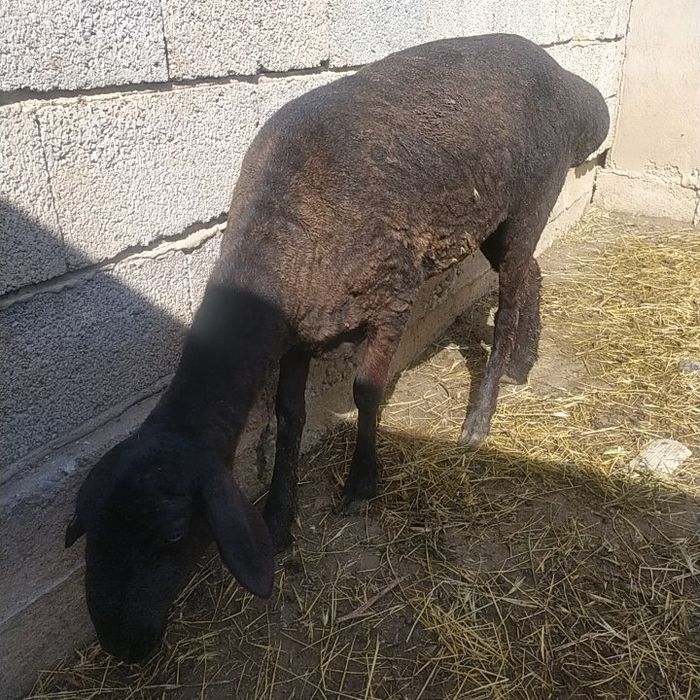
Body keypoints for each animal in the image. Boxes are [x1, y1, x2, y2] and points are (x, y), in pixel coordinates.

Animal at [65, 34, 609, 662]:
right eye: (90, 531)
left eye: (173, 533)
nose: (120, 643)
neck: (280, 236)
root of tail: (561, 71)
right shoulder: (300, 333)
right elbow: (288, 416)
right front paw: (279, 518)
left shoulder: (394, 296)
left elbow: (367, 392)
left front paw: (360, 485)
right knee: (530, 277)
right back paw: (522, 362)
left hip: (526, 205)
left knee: (514, 289)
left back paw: (480, 416)